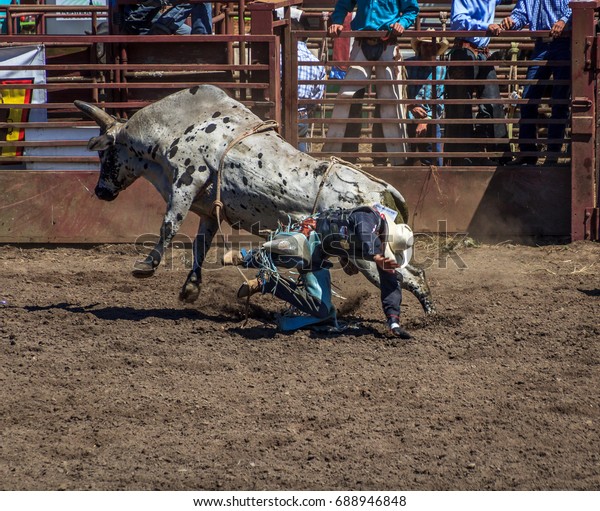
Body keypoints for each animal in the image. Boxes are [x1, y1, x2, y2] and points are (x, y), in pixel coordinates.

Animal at [75, 85, 436, 312]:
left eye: (105, 154)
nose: (100, 191)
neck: (176, 127)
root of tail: (381, 191)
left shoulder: (186, 181)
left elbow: (169, 226)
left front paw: (146, 266)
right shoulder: (209, 211)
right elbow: (200, 246)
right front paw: (191, 288)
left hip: (365, 257)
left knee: (408, 277)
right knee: (410, 275)